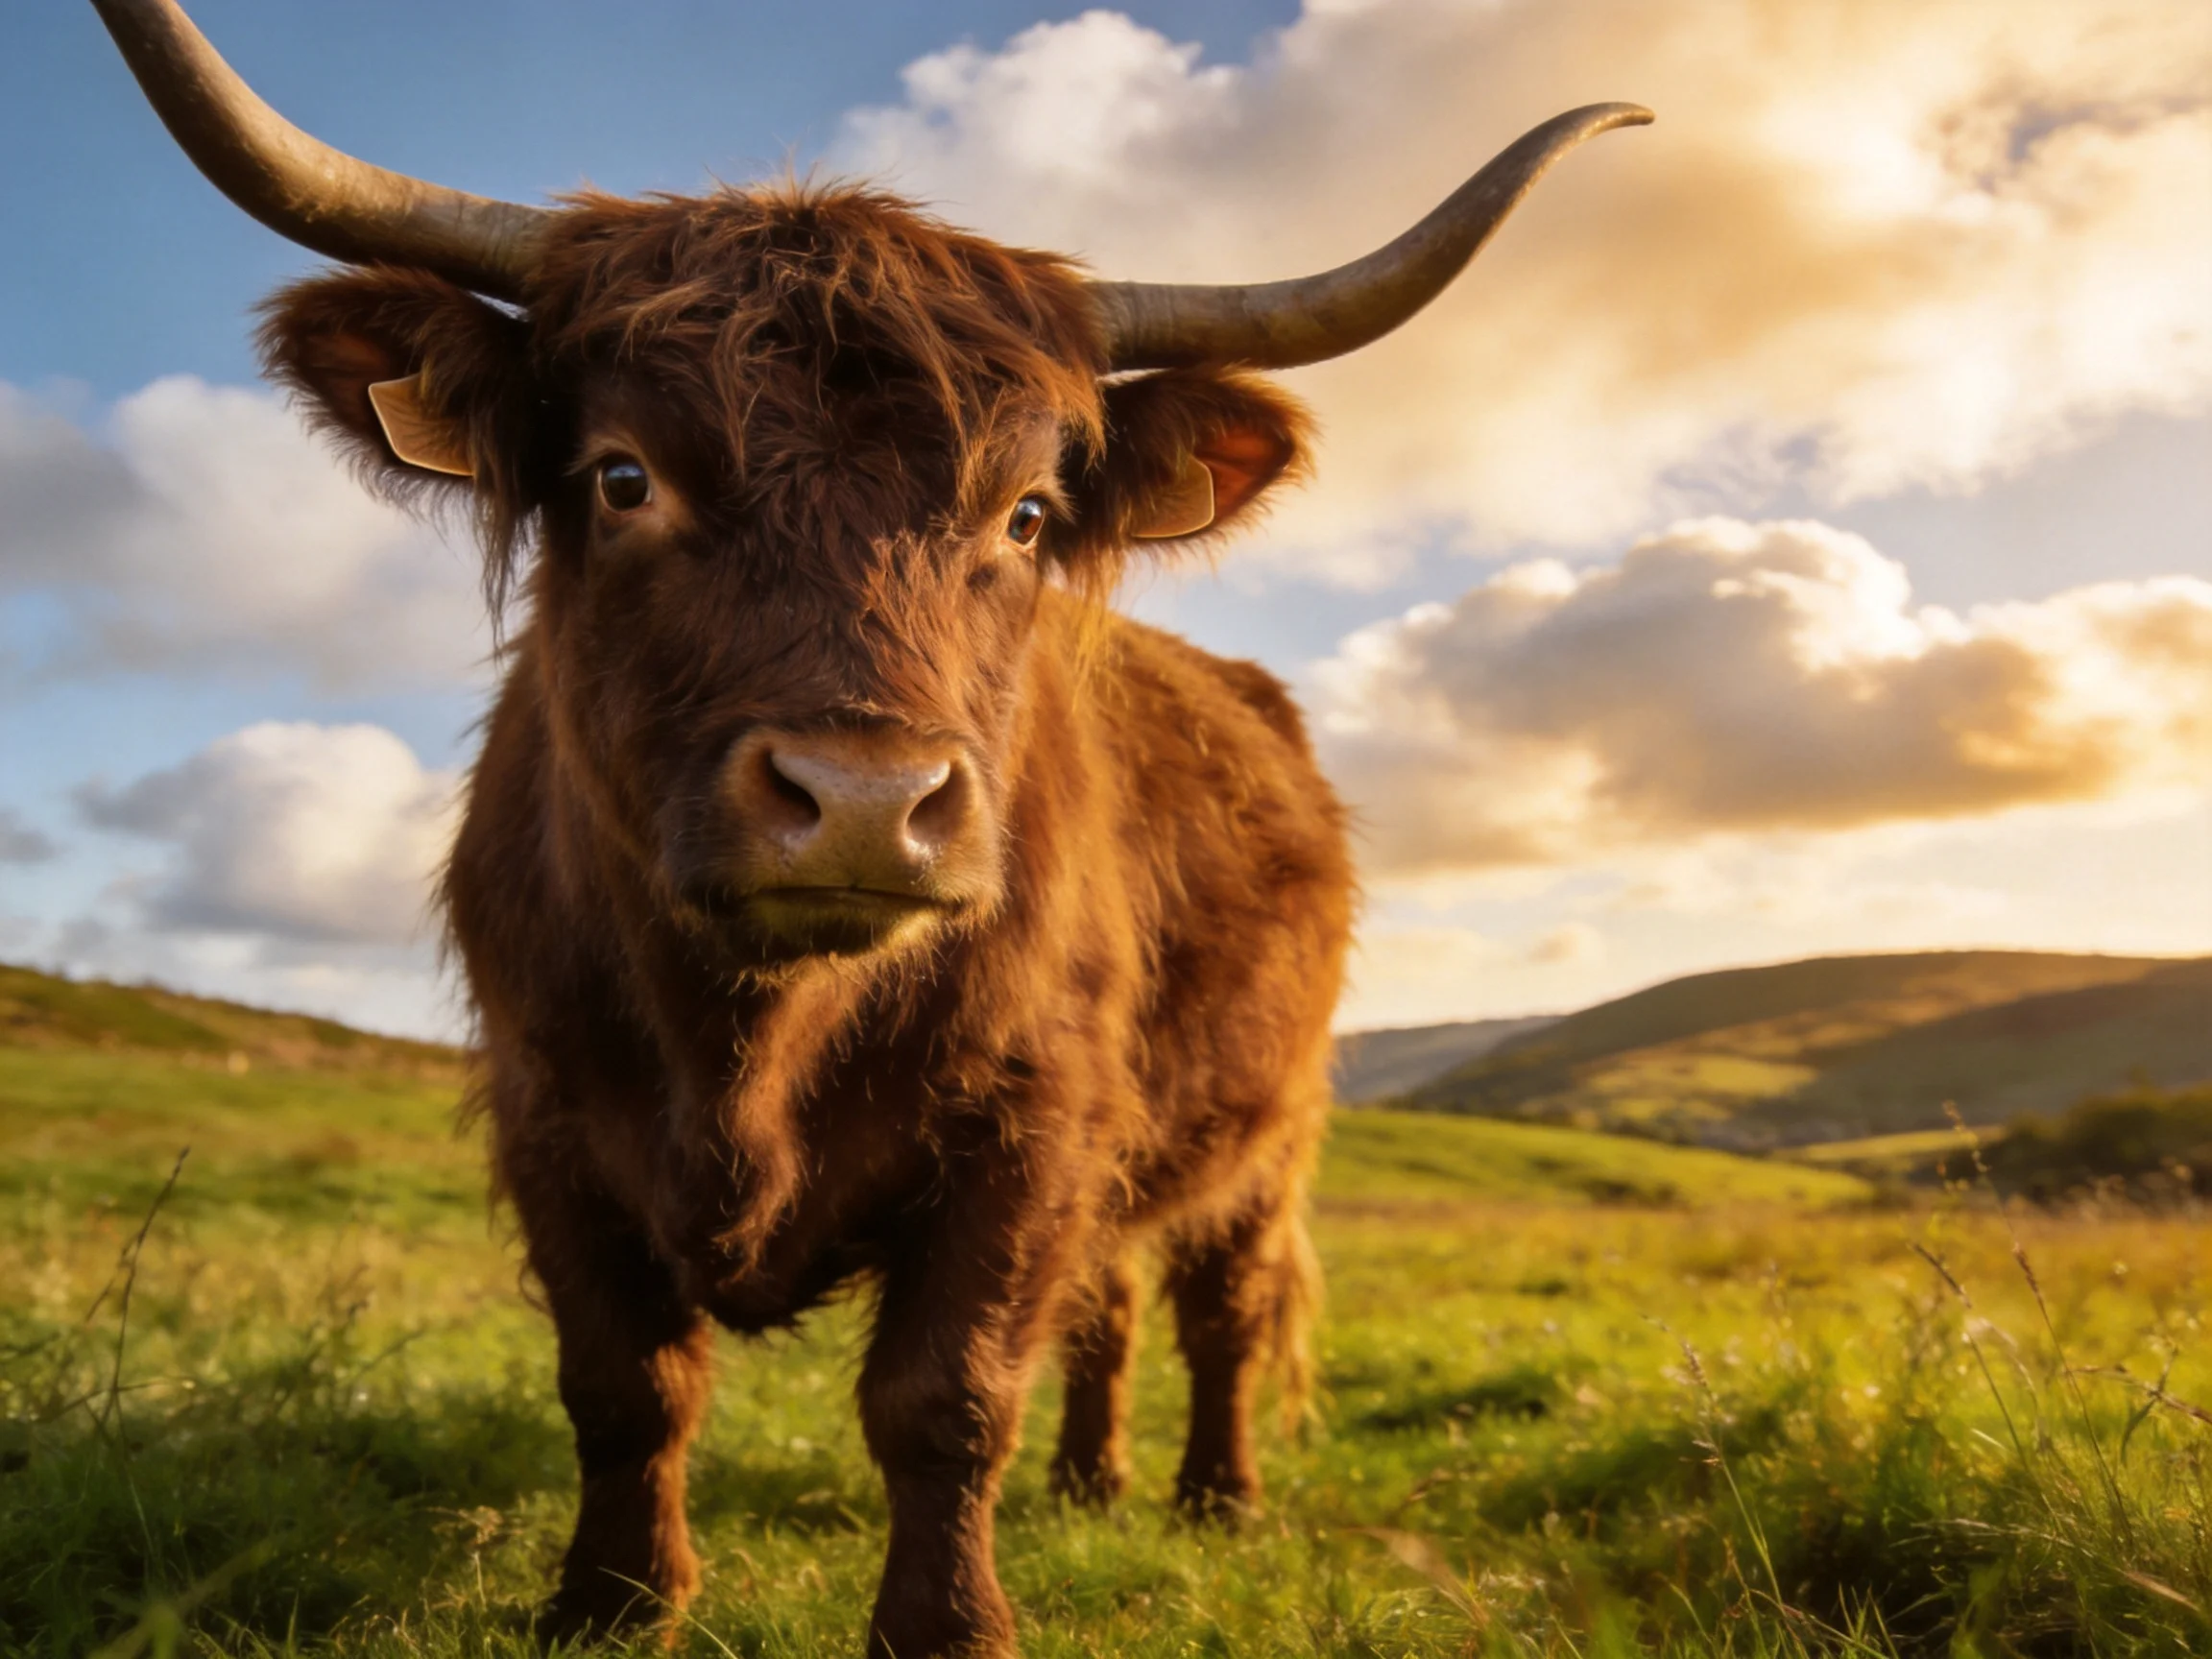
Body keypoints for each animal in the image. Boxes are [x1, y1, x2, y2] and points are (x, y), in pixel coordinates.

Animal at [90, 2, 1647, 1651]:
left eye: (1027, 514)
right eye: (622, 476)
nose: (861, 802)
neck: (751, 1044)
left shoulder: (1035, 1117)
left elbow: (943, 1397)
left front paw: (949, 1623)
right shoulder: (546, 1106)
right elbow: (625, 1384)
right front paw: (613, 1602)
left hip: (1266, 1126)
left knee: (1217, 1307)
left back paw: (1214, 1501)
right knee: (1106, 1306)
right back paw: (1090, 1485)